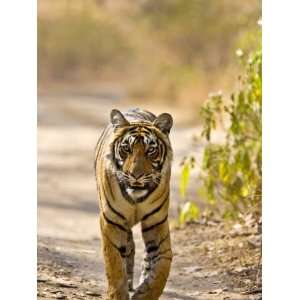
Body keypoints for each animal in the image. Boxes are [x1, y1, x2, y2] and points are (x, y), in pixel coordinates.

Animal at [94, 108, 173, 300]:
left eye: (150, 150)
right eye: (126, 149)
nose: (135, 175)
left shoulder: (157, 223)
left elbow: (163, 264)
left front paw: (144, 294)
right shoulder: (111, 221)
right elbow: (114, 262)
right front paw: (117, 294)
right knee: (128, 248)